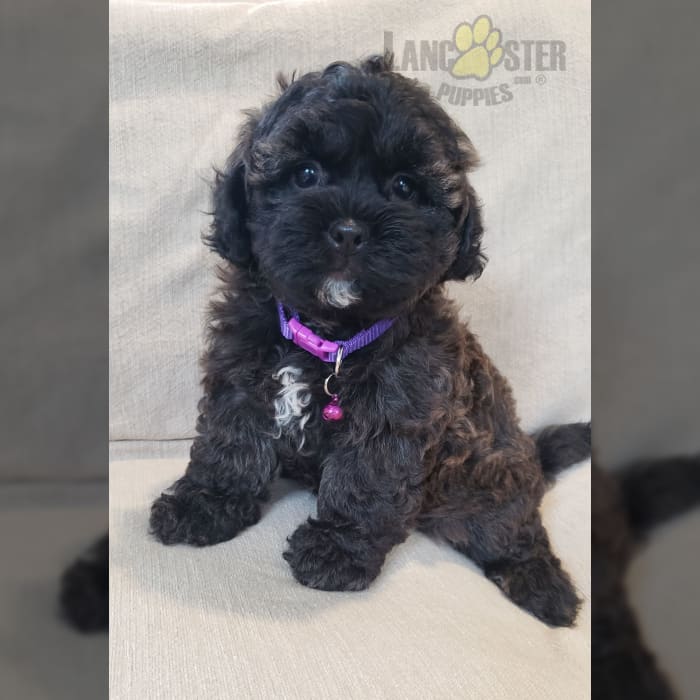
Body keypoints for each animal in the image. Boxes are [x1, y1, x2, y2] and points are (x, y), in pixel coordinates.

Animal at [149, 53, 590, 627]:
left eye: (403, 186)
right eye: (305, 174)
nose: (349, 230)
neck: (328, 335)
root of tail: (529, 451)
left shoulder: (400, 404)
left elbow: (366, 477)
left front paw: (336, 550)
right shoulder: (241, 371)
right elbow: (231, 441)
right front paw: (204, 503)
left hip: (489, 481)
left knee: (513, 530)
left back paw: (544, 587)